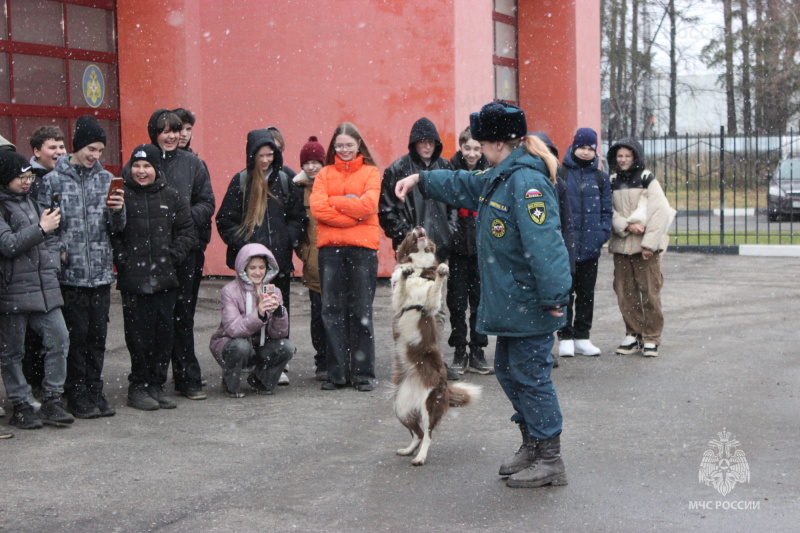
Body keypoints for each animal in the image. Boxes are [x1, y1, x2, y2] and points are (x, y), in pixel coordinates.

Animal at [390, 227, 482, 464]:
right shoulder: (398, 301)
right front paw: (405, 270)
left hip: (429, 404)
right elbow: (401, 281)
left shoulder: (431, 305)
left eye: (426, 234)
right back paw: (409, 450)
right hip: (401, 407)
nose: (419, 227)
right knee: (417, 433)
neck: (420, 269)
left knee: (427, 435)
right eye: (409, 233)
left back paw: (420, 458)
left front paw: (442, 270)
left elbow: (436, 287)